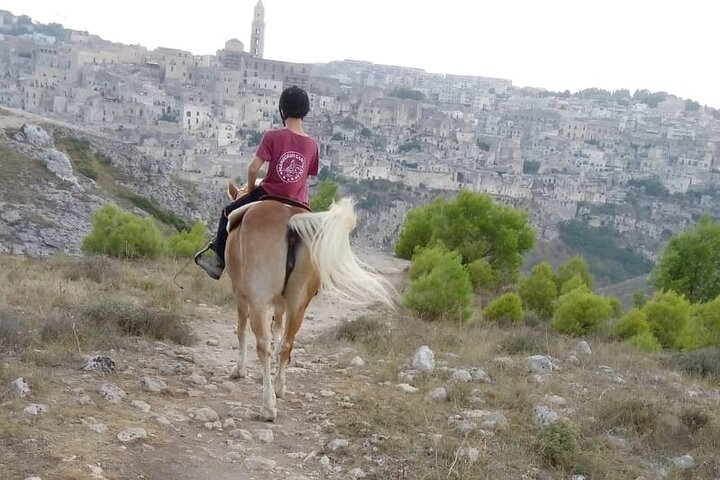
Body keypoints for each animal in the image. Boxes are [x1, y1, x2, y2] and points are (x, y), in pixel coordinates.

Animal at [222, 180, 394, 421]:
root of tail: (291, 221)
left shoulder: (239, 292)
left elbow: (241, 330)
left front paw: (239, 370)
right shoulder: (281, 302)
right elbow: (278, 330)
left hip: (259, 298)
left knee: (263, 344)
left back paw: (268, 407)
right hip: (298, 302)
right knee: (287, 343)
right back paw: (279, 387)